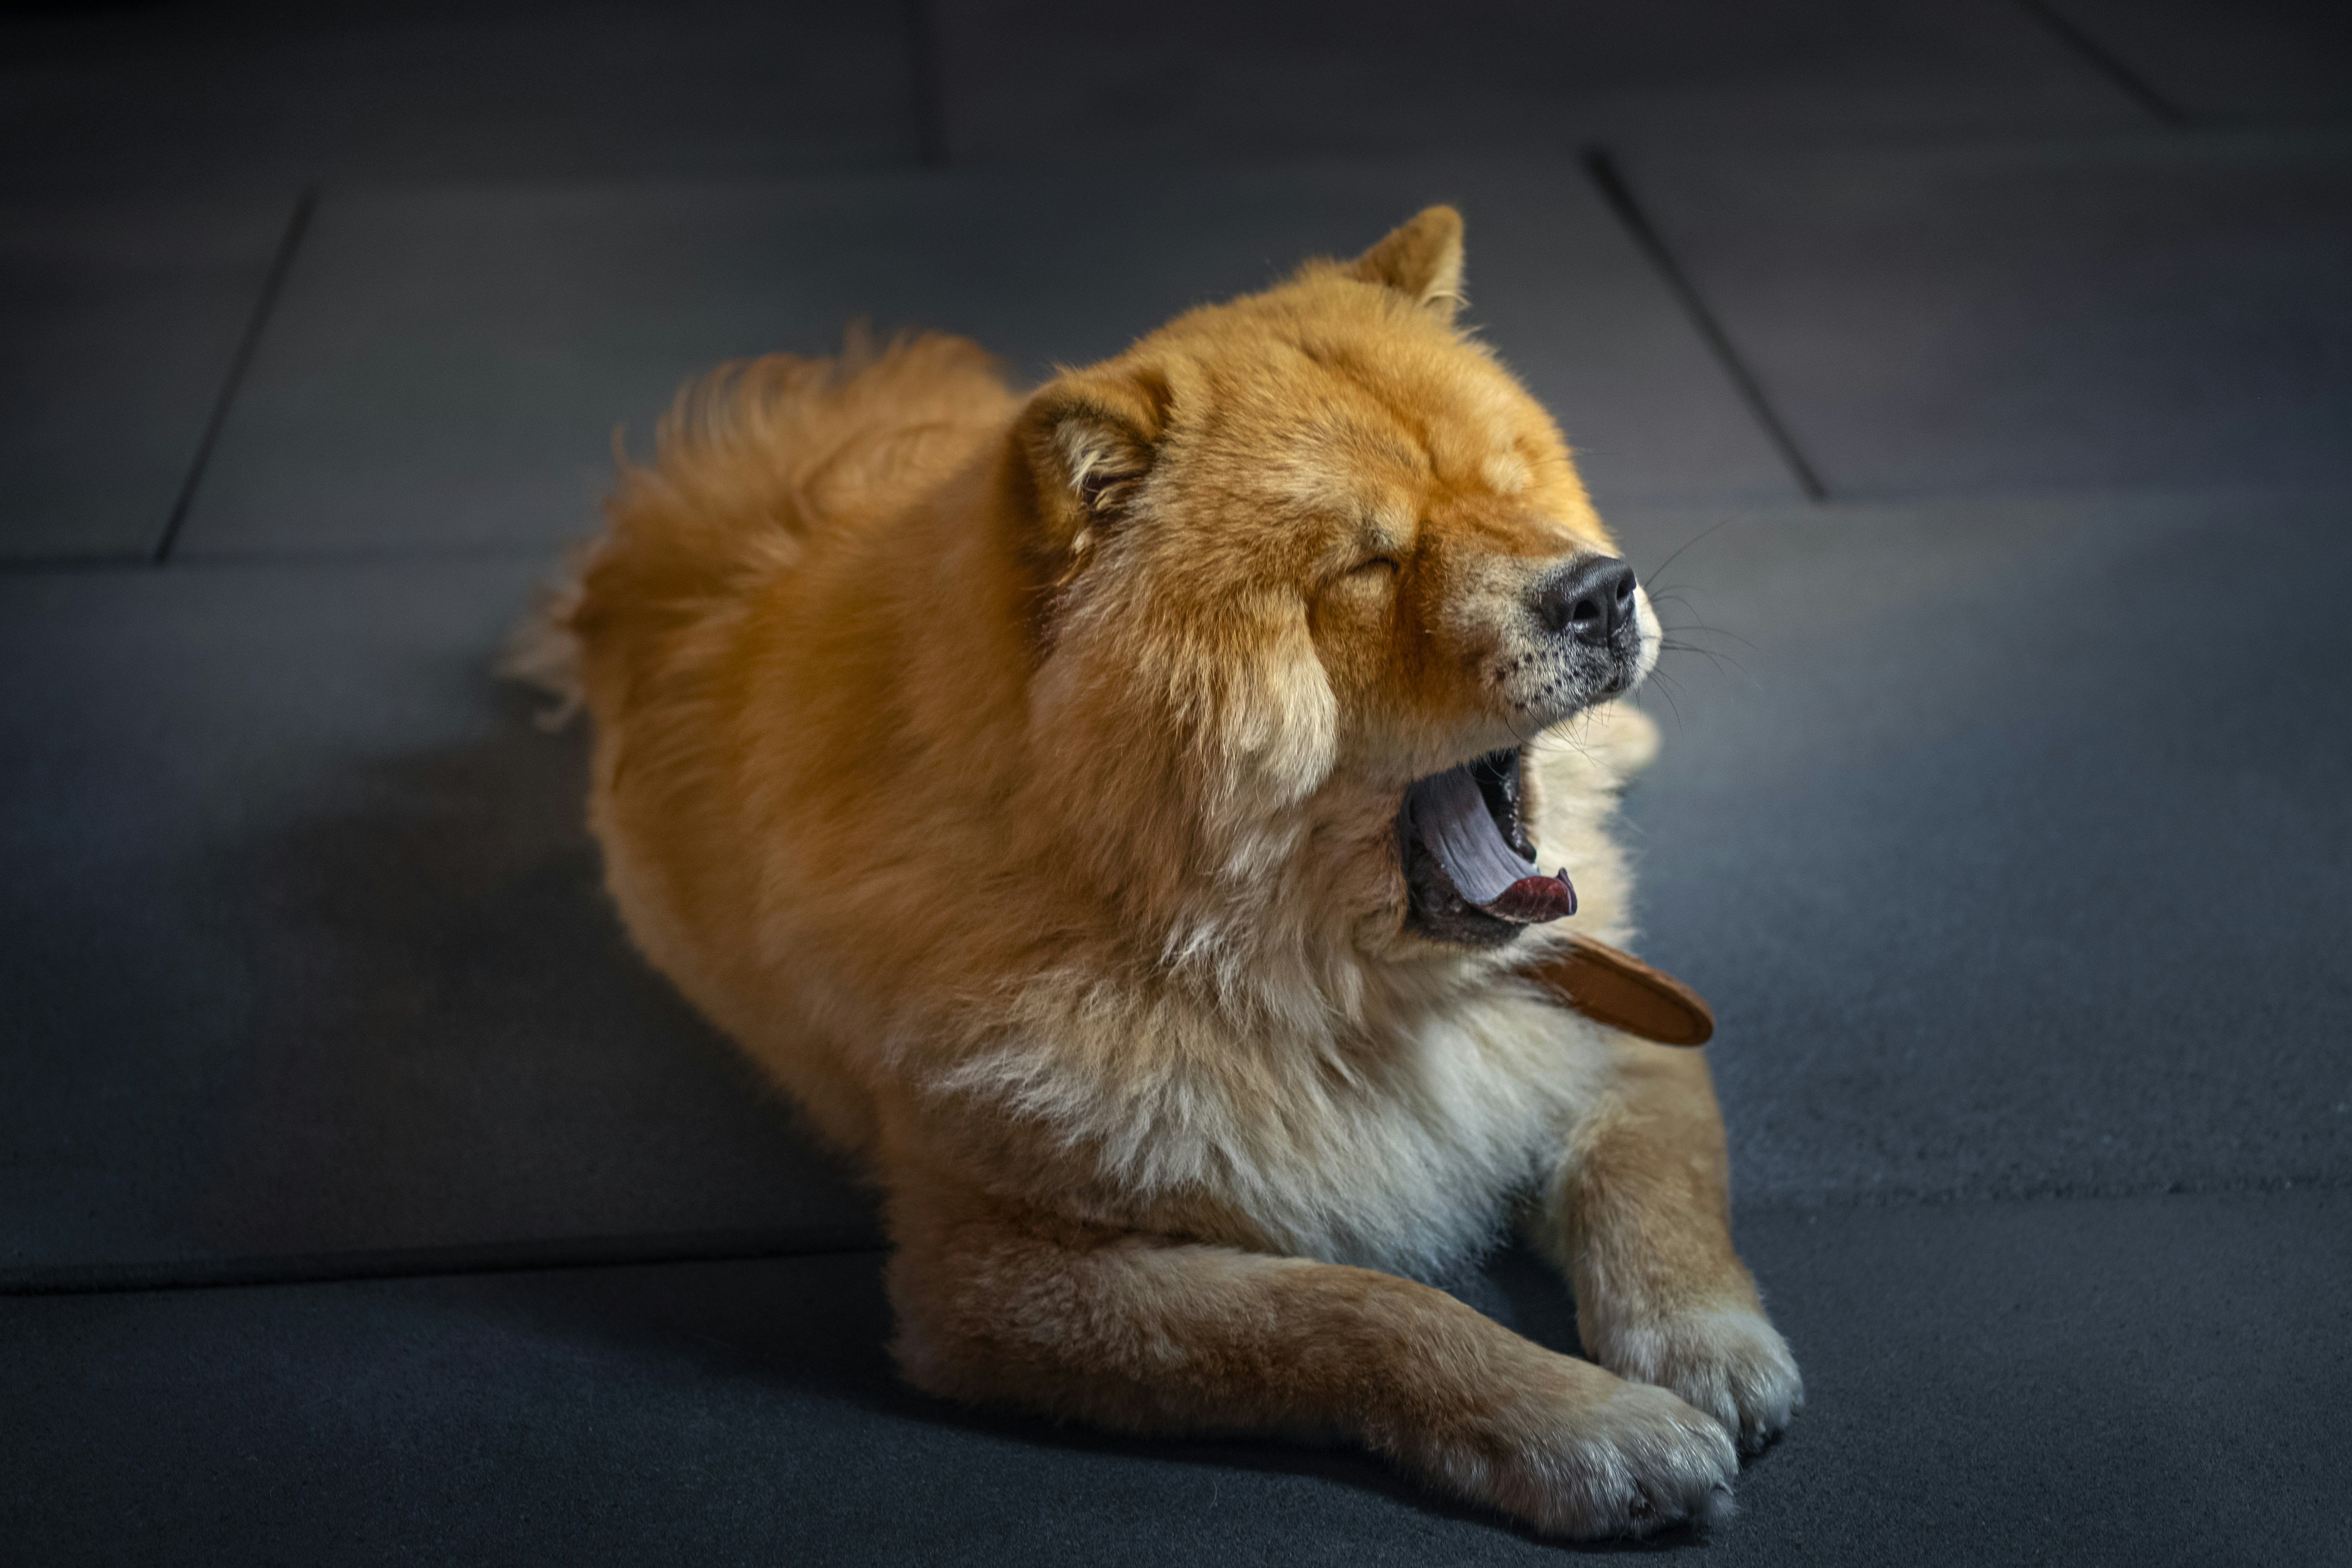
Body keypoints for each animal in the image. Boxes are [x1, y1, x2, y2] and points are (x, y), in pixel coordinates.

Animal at [529, 202, 1797, 1542]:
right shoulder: (1009, 1276)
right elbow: (1360, 1315)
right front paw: (1593, 1430)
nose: (1600, 588)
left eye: (1514, 486)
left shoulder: (1615, 1024)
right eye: (1369, 563)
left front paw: (1709, 1348)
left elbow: (1657, 1180)